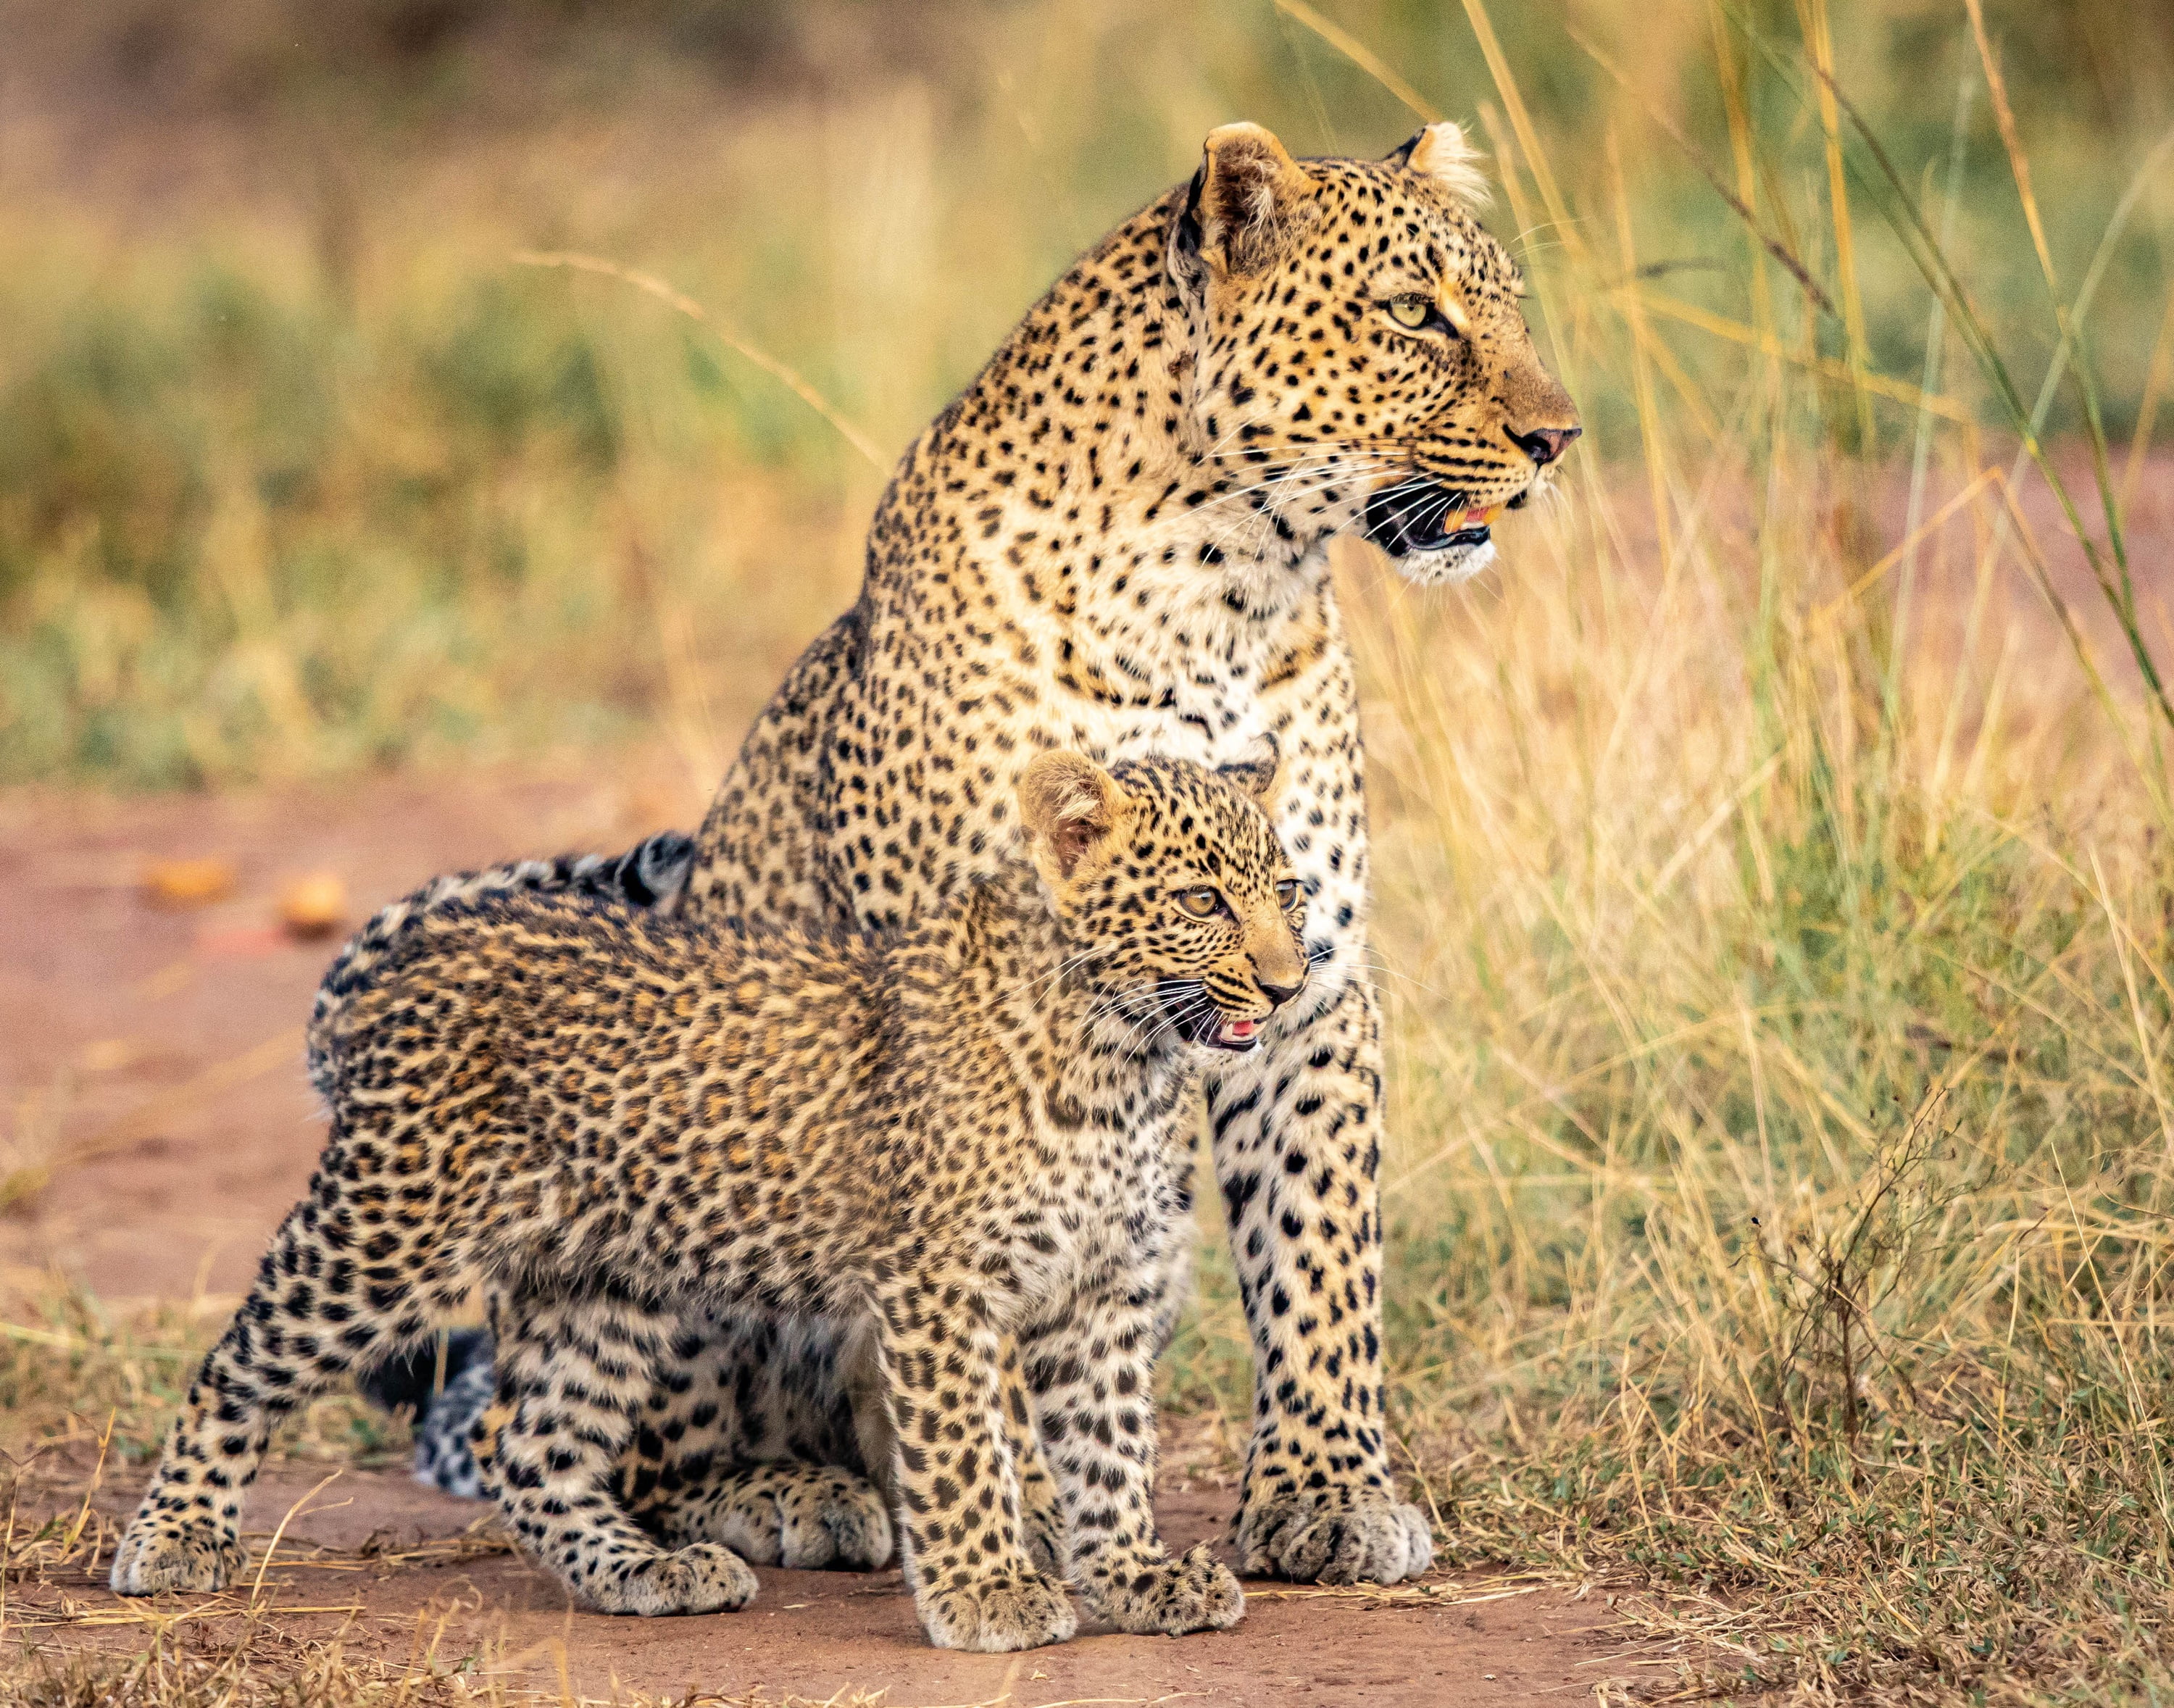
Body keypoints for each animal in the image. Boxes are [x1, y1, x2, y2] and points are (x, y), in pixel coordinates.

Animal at [111, 748, 1304, 1653]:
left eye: (1287, 893)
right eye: (1202, 900)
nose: (1292, 982)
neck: (1128, 1065)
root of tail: (419, 951)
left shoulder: (1104, 1288)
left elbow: (1111, 1445)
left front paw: (1137, 1576)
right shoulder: (941, 1285)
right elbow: (968, 1449)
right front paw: (990, 1594)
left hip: (602, 1276)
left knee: (531, 1443)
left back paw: (646, 1571)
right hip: (388, 1229)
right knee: (237, 1364)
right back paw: (171, 1539)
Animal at [352, 116, 1581, 1588]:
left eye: (1509, 305)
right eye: (1411, 314)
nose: (1560, 436)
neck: (1230, 589)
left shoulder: (1314, 970)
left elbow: (1321, 1251)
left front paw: (1327, 1494)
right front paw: (1026, 1522)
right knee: (619, 1451)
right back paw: (794, 1496)